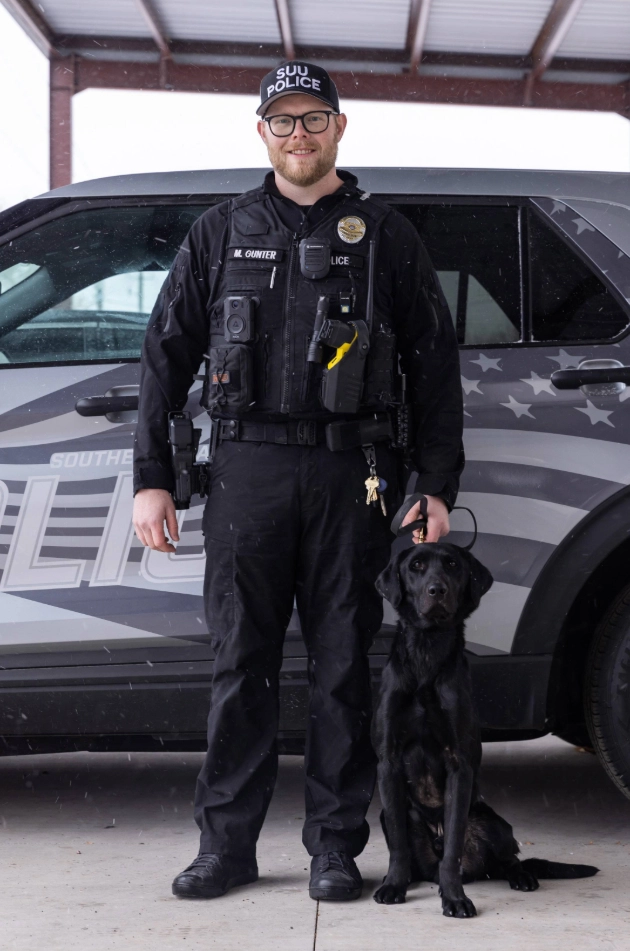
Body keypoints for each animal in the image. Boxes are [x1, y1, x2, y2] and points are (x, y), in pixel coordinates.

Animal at [372, 548, 600, 920]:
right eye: (416, 566)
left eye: (452, 565)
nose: (437, 590)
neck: (427, 654)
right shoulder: (388, 762)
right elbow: (398, 844)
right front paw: (393, 885)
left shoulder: (459, 764)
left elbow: (453, 848)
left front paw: (454, 898)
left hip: (495, 824)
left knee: (508, 859)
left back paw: (522, 877)